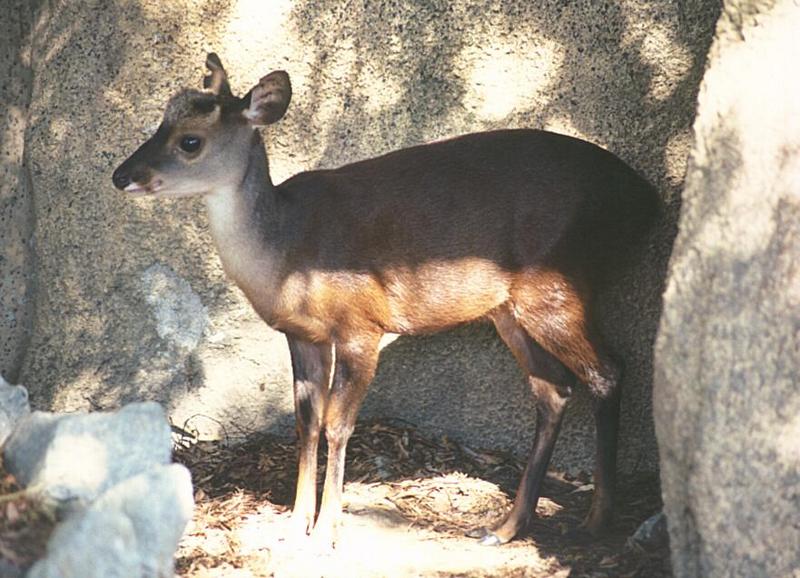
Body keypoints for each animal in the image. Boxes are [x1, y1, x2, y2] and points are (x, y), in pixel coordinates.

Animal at [114, 53, 664, 544]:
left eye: (190, 141)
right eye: (160, 119)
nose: (122, 175)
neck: (287, 251)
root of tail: (647, 200)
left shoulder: (362, 324)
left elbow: (338, 424)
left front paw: (327, 531)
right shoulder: (301, 335)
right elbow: (306, 423)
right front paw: (294, 524)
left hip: (558, 283)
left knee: (606, 371)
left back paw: (594, 522)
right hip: (508, 309)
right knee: (553, 388)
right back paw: (504, 527)